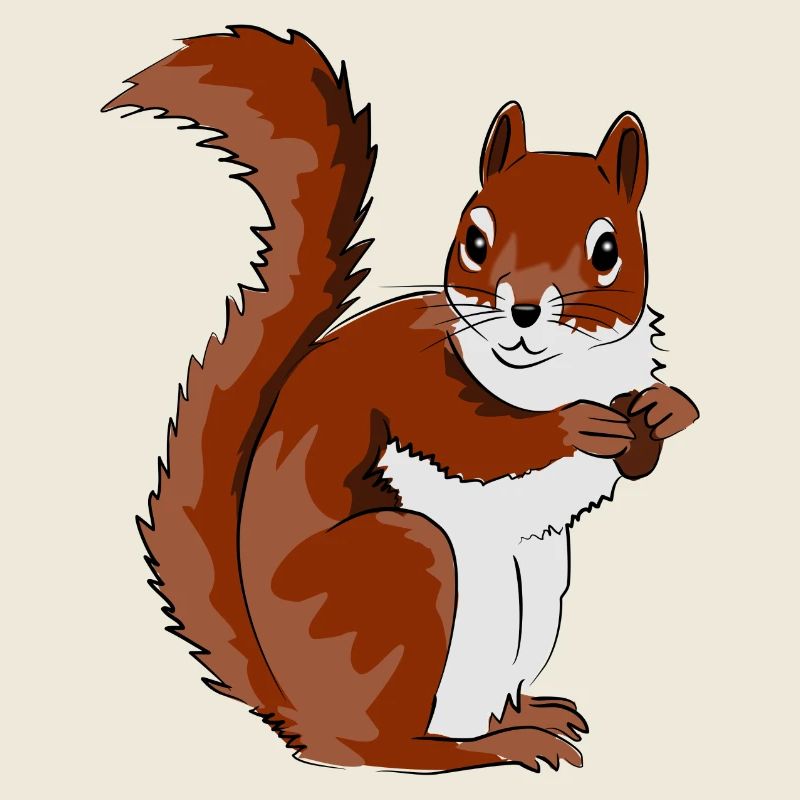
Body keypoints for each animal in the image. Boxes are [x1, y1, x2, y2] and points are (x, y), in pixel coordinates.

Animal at [103, 25, 699, 773]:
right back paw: (487, 747)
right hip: (407, 572)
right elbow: (478, 443)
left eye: (608, 249)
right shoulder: (415, 384)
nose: (524, 311)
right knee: (386, 747)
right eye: (475, 239)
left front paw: (664, 411)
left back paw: (526, 716)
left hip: (535, 592)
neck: (551, 374)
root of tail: (297, 712)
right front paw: (573, 428)